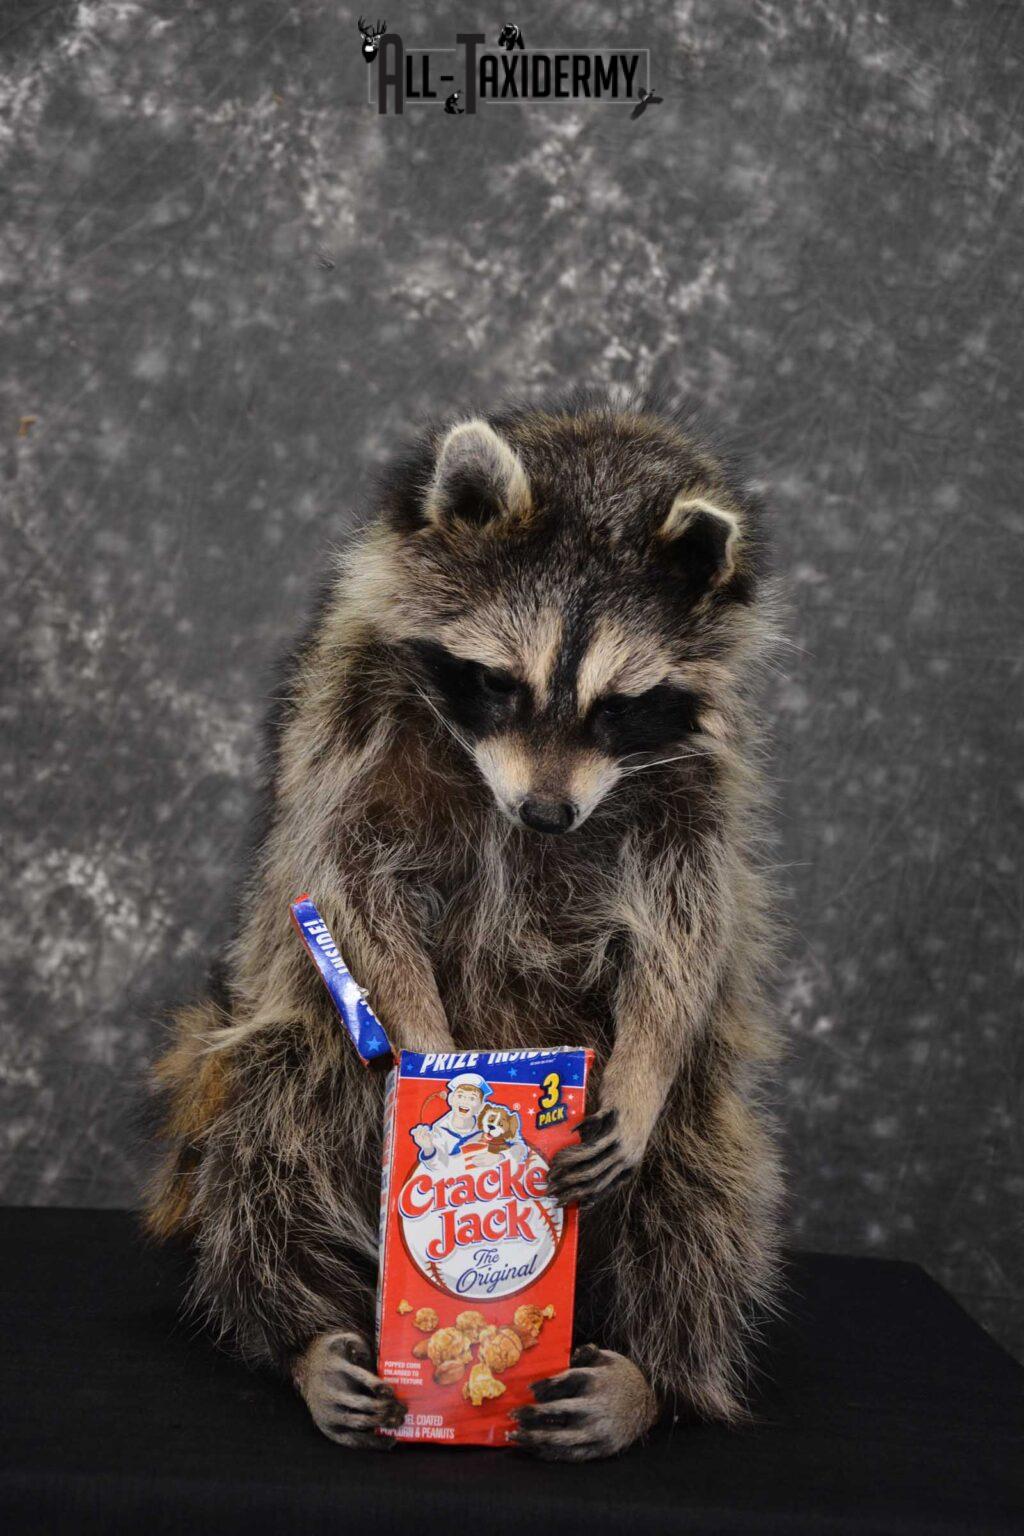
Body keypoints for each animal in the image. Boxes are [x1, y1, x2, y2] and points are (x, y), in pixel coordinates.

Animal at [146, 395, 783, 1461]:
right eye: (500, 683)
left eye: (620, 706)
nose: (546, 817)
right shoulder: (351, 722)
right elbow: (351, 881)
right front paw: (428, 1044)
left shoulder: (700, 785)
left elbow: (686, 929)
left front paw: (644, 1064)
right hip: (282, 1056)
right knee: (267, 1129)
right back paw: (300, 1337)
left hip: (693, 1132)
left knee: (698, 1188)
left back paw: (653, 1374)